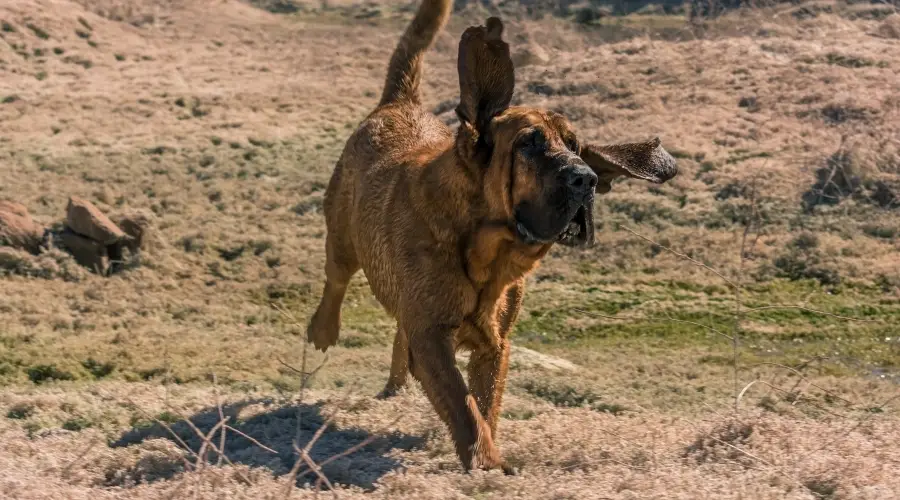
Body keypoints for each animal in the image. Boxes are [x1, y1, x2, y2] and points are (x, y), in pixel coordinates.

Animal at [306, 0, 680, 474]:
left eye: (575, 145)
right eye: (528, 144)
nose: (587, 179)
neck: (485, 253)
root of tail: (398, 103)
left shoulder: (493, 346)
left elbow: (483, 406)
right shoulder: (432, 336)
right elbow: (463, 406)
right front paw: (486, 463)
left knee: (397, 338)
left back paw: (395, 390)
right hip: (341, 236)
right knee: (336, 279)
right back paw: (323, 329)